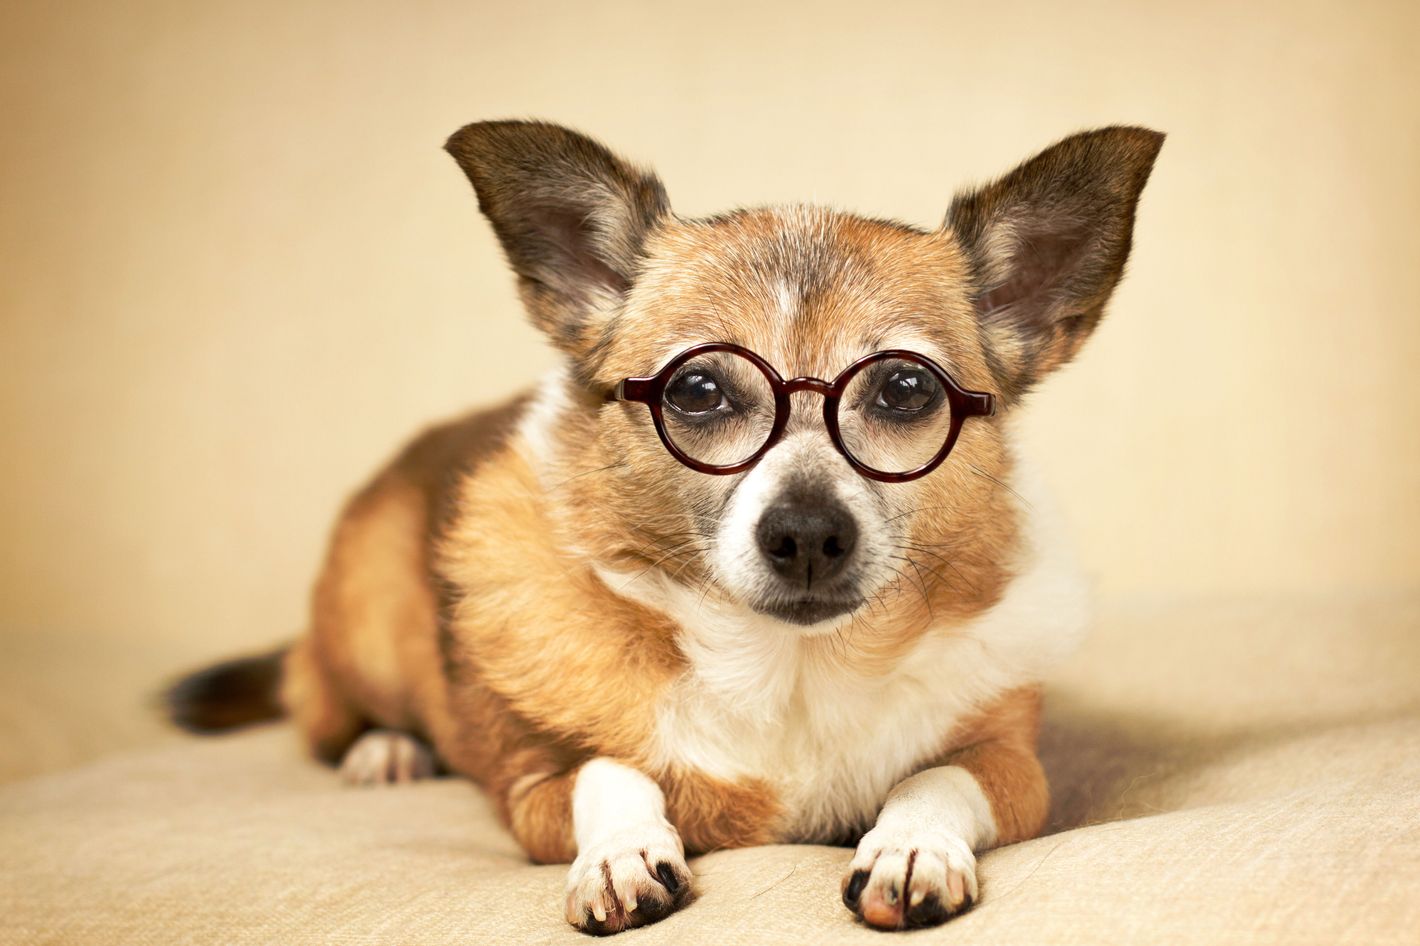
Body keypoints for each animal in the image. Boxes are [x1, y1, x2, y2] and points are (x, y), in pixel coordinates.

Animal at [168, 121, 1164, 931]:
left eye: (906, 389)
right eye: (698, 389)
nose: (808, 533)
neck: (790, 673)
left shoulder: (1016, 768)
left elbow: (939, 774)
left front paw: (911, 845)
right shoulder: (532, 788)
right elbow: (612, 773)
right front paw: (620, 855)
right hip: (366, 633)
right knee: (326, 706)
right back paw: (387, 749)